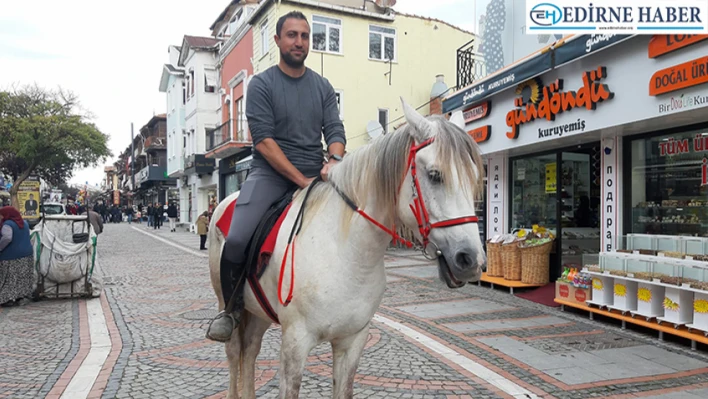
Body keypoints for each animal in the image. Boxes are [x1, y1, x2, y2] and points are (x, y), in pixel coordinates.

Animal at [207, 100, 490, 399]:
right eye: (435, 175)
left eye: (474, 177)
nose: (470, 259)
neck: (347, 255)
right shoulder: (295, 344)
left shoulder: (352, 342)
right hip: (228, 305)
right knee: (234, 351)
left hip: (258, 311)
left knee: (250, 349)